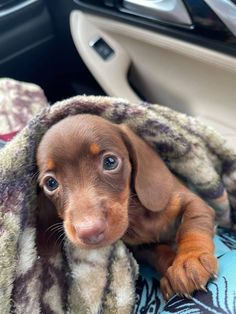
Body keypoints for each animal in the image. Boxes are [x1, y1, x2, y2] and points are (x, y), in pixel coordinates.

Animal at [36, 114, 218, 300]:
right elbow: (158, 253)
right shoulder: (141, 248)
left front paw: (189, 260)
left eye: (110, 162)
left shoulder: (191, 202)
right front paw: (171, 264)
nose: (89, 232)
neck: (137, 214)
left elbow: (193, 226)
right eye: (51, 183)